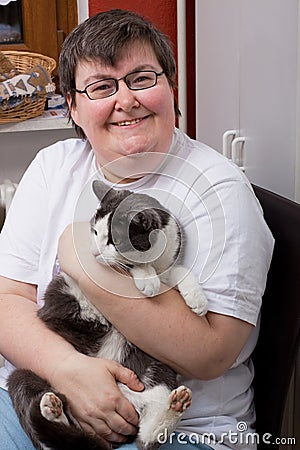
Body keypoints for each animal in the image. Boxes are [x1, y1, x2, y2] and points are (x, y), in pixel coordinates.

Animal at [7, 180, 209, 450]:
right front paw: (147, 279)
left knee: (147, 437)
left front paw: (197, 300)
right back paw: (52, 410)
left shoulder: (170, 262)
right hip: (22, 375)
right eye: (94, 232)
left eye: (114, 240)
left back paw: (172, 409)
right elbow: (134, 266)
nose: (94, 253)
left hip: (158, 369)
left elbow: (181, 271)